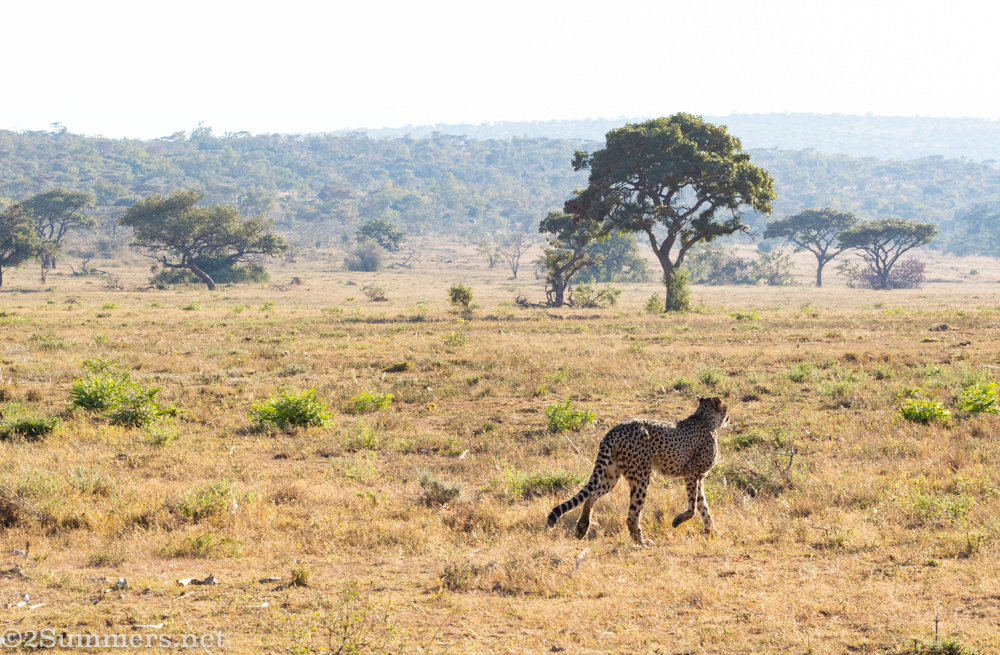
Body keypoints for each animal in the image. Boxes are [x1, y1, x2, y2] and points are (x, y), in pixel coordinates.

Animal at [546, 396, 729, 545]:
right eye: (726, 407)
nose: (729, 416)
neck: (705, 419)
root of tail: (616, 428)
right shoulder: (692, 471)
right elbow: (693, 507)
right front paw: (678, 521)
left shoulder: (699, 477)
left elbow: (702, 505)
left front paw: (712, 531)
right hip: (641, 476)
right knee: (631, 516)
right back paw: (642, 542)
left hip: (611, 475)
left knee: (591, 495)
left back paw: (582, 527)